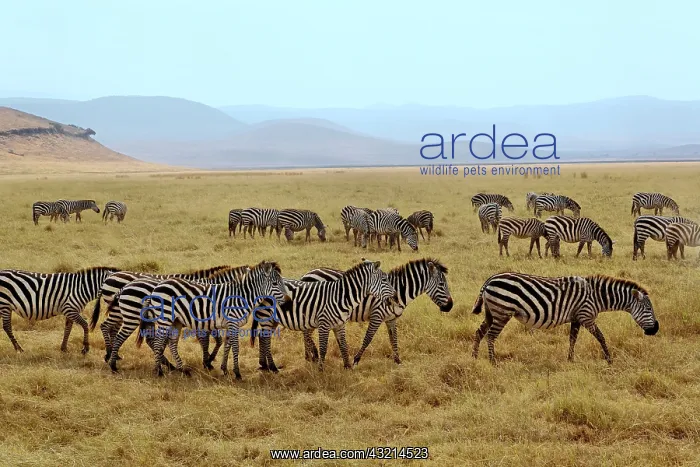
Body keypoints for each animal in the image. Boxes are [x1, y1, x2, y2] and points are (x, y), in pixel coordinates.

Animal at [105, 265, 251, 373]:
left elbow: (218, 341)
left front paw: (209, 361)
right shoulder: (203, 321)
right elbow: (207, 342)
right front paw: (208, 361)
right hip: (128, 314)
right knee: (110, 328)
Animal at [149, 260, 289, 379]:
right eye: (275, 284)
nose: (288, 302)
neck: (242, 296)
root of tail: (159, 285)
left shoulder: (230, 324)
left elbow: (227, 345)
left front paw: (224, 369)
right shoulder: (233, 322)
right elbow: (235, 347)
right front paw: (237, 373)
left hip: (176, 321)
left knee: (172, 342)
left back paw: (183, 370)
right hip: (165, 318)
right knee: (158, 342)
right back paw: (159, 371)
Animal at [250, 260, 397, 371]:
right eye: (385, 279)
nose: (396, 296)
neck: (340, 297)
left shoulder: (340, 324)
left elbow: (344, 346)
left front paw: (348, 367)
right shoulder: (324, 323)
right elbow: (323, 348)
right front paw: (321, 369)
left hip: (272, 320)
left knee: (263, 337)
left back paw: (264, 365)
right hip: (266, 317)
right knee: (265, 339)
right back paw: (272, 367)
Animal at [296, 258, 452, 366]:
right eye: (442, 284)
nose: (450, 306)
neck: (399, 291)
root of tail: (307, 274)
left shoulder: (391, 319)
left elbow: (394, 339)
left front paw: (398, 360)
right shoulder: (377, 315)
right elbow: (368, 338)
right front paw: (356, 360)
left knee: (306, 332)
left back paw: (308, 356)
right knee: (306, 332)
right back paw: (313, 355)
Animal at [471, 272, 659, 365]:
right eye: (649, 308)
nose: (656, 329)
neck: (596, 297)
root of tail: (490, 279)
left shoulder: (576, 318)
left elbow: (572, 338)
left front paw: (570, 360)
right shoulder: (586, 316)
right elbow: (601, 337)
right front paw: (609, 359)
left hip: (492, 312)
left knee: (479, 332)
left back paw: (474, 357)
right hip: (502, 312)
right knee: (491, 335)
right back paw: (493, 362)